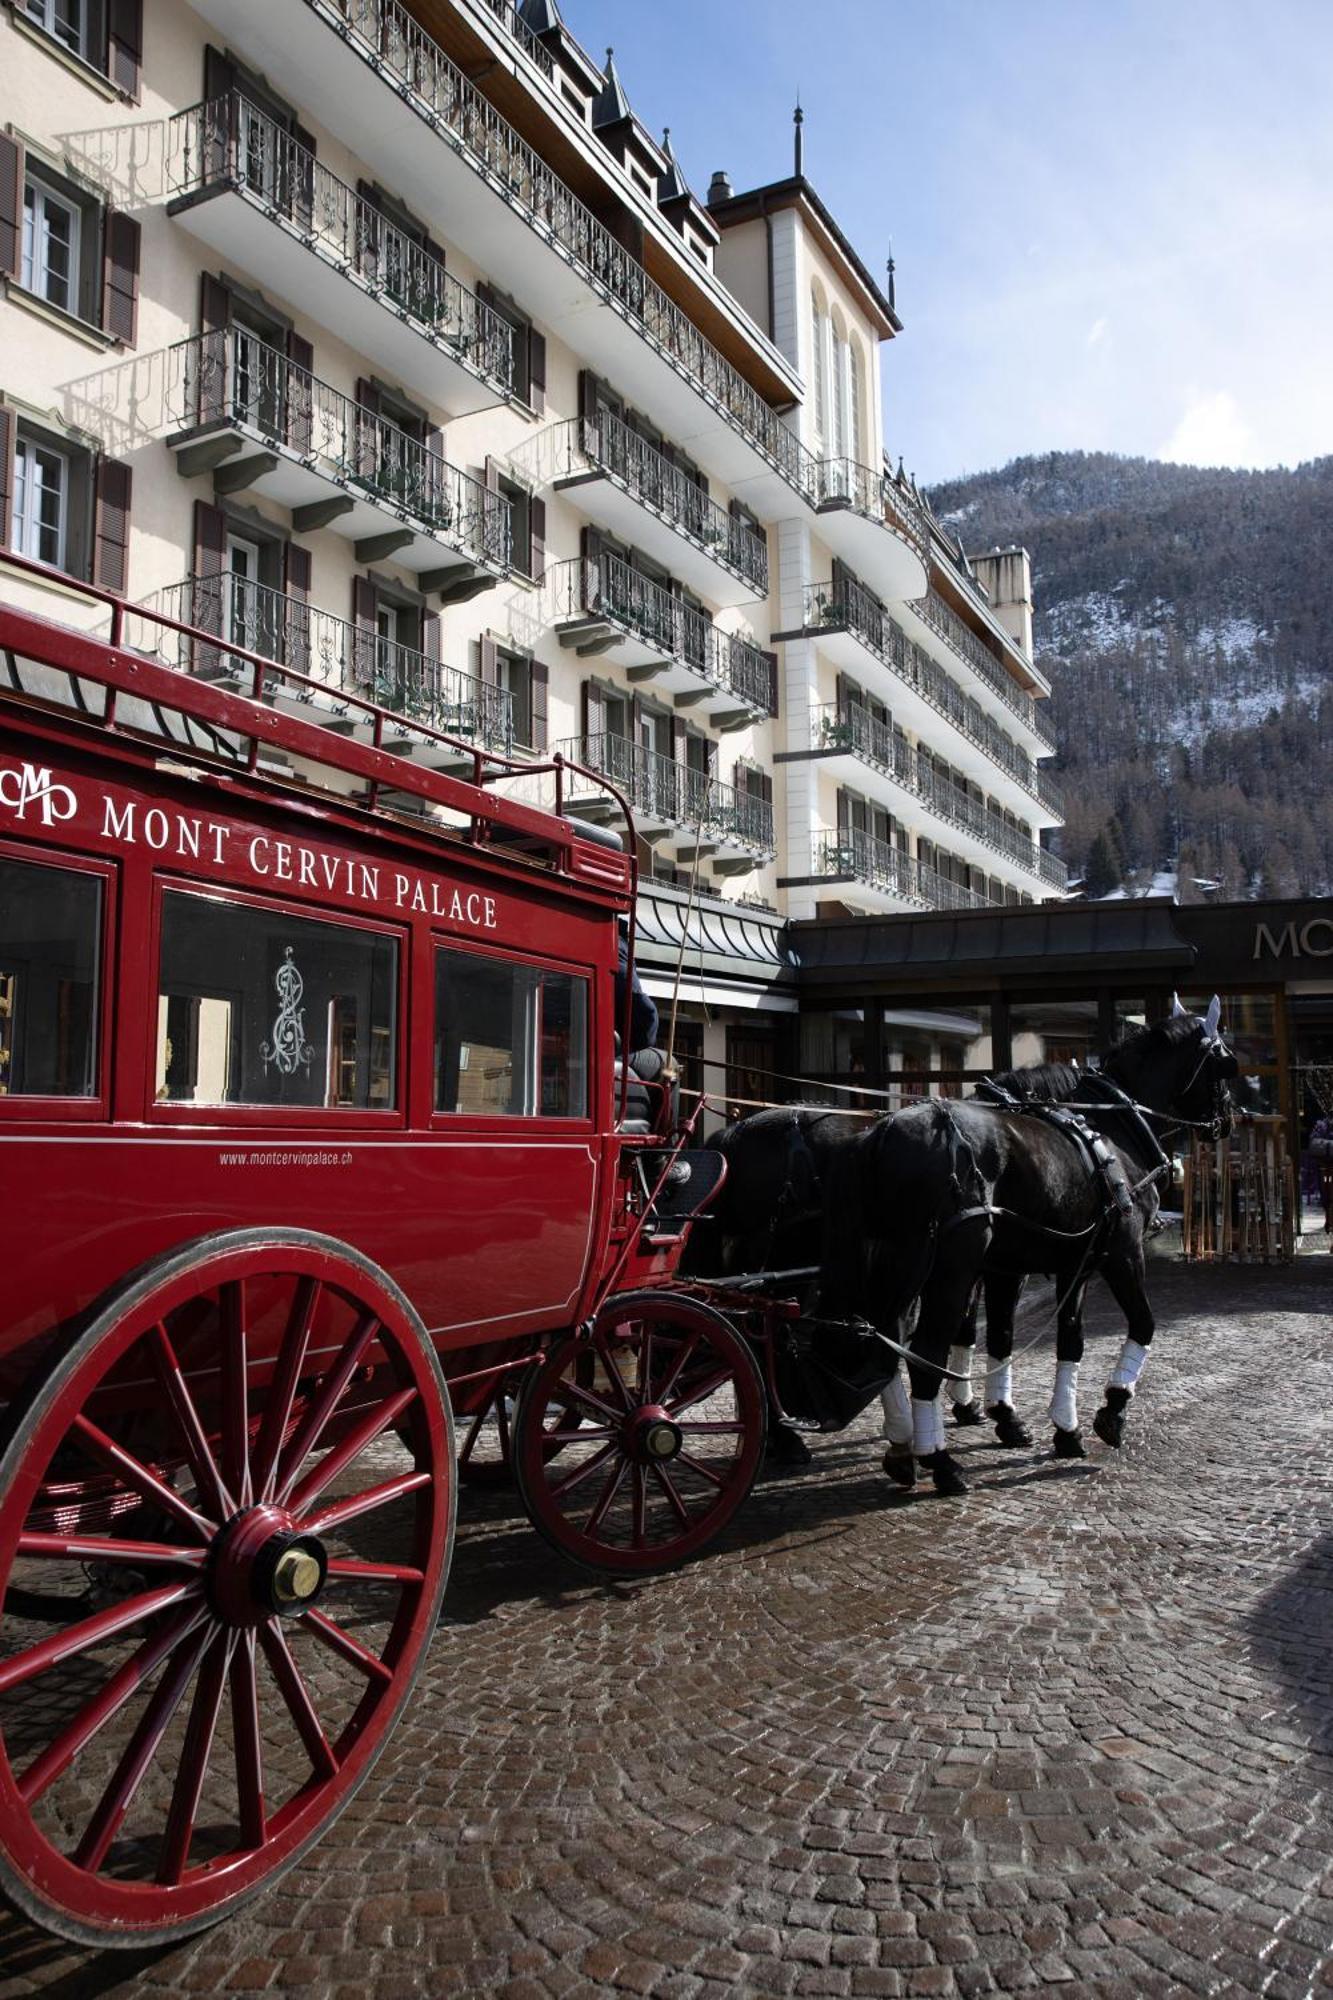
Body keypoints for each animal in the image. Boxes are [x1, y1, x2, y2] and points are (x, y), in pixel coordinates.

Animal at [820, 1008, 1232, 1496]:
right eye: (1223, 1061)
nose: (1229, 1118)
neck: (1109, 1131)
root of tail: (882, 1134)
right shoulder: (1120, 1253)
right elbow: (1142, 1325)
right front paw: (1110, 1412)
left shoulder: (1045, 1266)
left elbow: (1038, 1338)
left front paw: (1045, 1424)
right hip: (946, 1271)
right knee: (925, 1355)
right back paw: (939, 1460)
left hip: (897, 1267)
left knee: (888, 1343)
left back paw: (904, 1449)